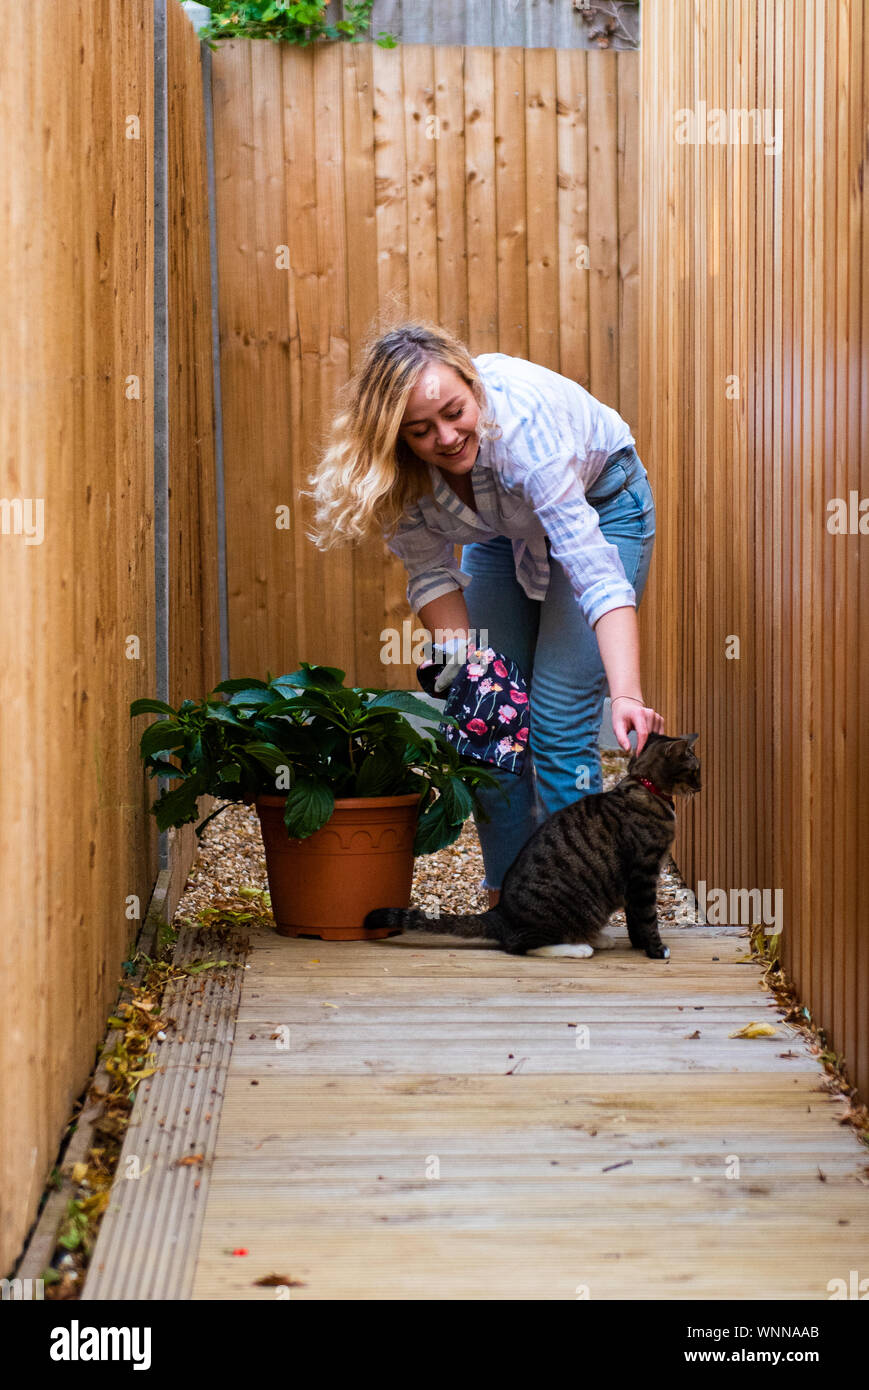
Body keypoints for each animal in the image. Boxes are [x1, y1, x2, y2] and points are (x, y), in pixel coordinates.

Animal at [361, 733, 700, 961]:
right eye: (696, 769)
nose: (701, 785)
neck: (645, 786)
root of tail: (500, 913)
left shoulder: (637, 881)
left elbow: (634, 919)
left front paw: (639, 944)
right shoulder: (643, 873)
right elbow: (646, 918)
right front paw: (656, 950)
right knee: (521, 945)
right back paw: (579, 947)